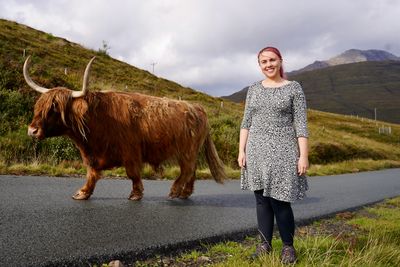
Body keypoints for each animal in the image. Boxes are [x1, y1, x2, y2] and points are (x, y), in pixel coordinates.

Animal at [24, 57, 225, 203]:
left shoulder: (131, 152)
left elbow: (132, 173)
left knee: (187, 170)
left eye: (54, 108)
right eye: (39, 107)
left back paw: (175, 191)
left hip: (187, 151)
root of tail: (196, 107)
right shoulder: (93, 155)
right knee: (192, 171)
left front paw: (135, 194)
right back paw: (185, 193)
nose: (32, 130)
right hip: (190, 152)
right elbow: (92, 174)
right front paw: (82, 193)